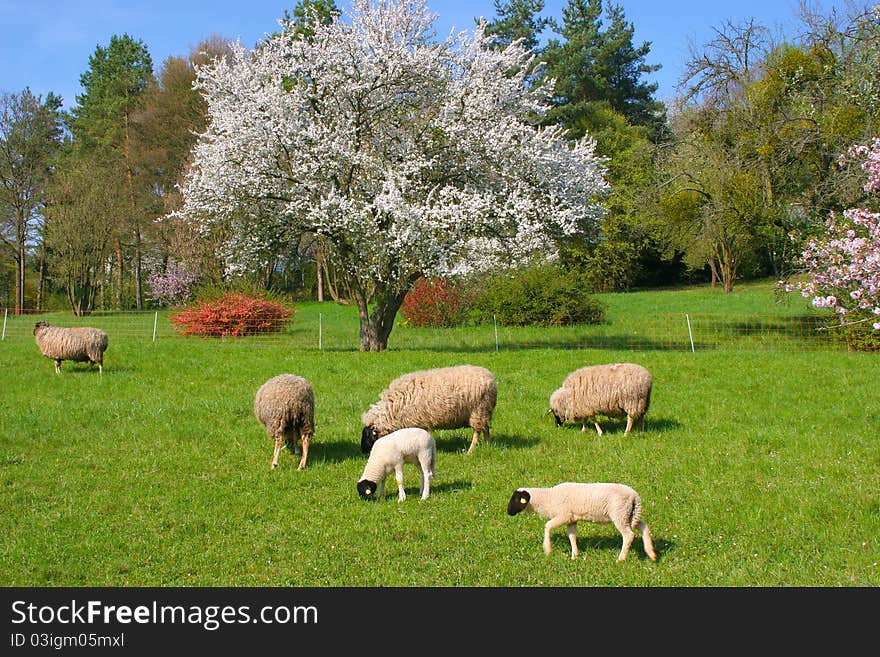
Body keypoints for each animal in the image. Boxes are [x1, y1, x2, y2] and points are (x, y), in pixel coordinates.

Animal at [358, 362, 496, 454]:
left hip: (478, 411)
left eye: (367, 435)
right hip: (484, 411)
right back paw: (488, 446)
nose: (363, 452)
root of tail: (491, 379)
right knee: (486, 429)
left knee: (477, 432)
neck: (393, 409)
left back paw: (470, 451)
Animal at [506, 480, 656, 560]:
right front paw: (574, 556)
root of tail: (635, 495)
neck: (547, 498)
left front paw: (548, 550)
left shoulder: (564, 515)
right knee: (643, 526)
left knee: (628, 535)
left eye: (516, 499)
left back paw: (621, 559)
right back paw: (651, 553)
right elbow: (572, 536)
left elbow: (547, 526)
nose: (508, 512)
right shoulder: (571, 519)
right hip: (629, 514)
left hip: (620, 514)